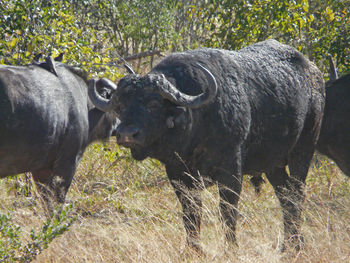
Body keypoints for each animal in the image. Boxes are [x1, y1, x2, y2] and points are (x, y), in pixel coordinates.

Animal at [89, 39, 324, 252]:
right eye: (120, 106)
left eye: (153, 104)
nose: (127, 134)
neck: (196, 128)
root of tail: (314, 73)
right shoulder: (178, 173)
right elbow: (191, 212)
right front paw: (193, 248)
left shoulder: (231, 170)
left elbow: (227, 211)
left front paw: (231, 248)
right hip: (273, 164)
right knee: (285, 195)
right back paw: (288, 244)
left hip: (304, 149)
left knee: (297, 193)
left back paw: (295, 243)